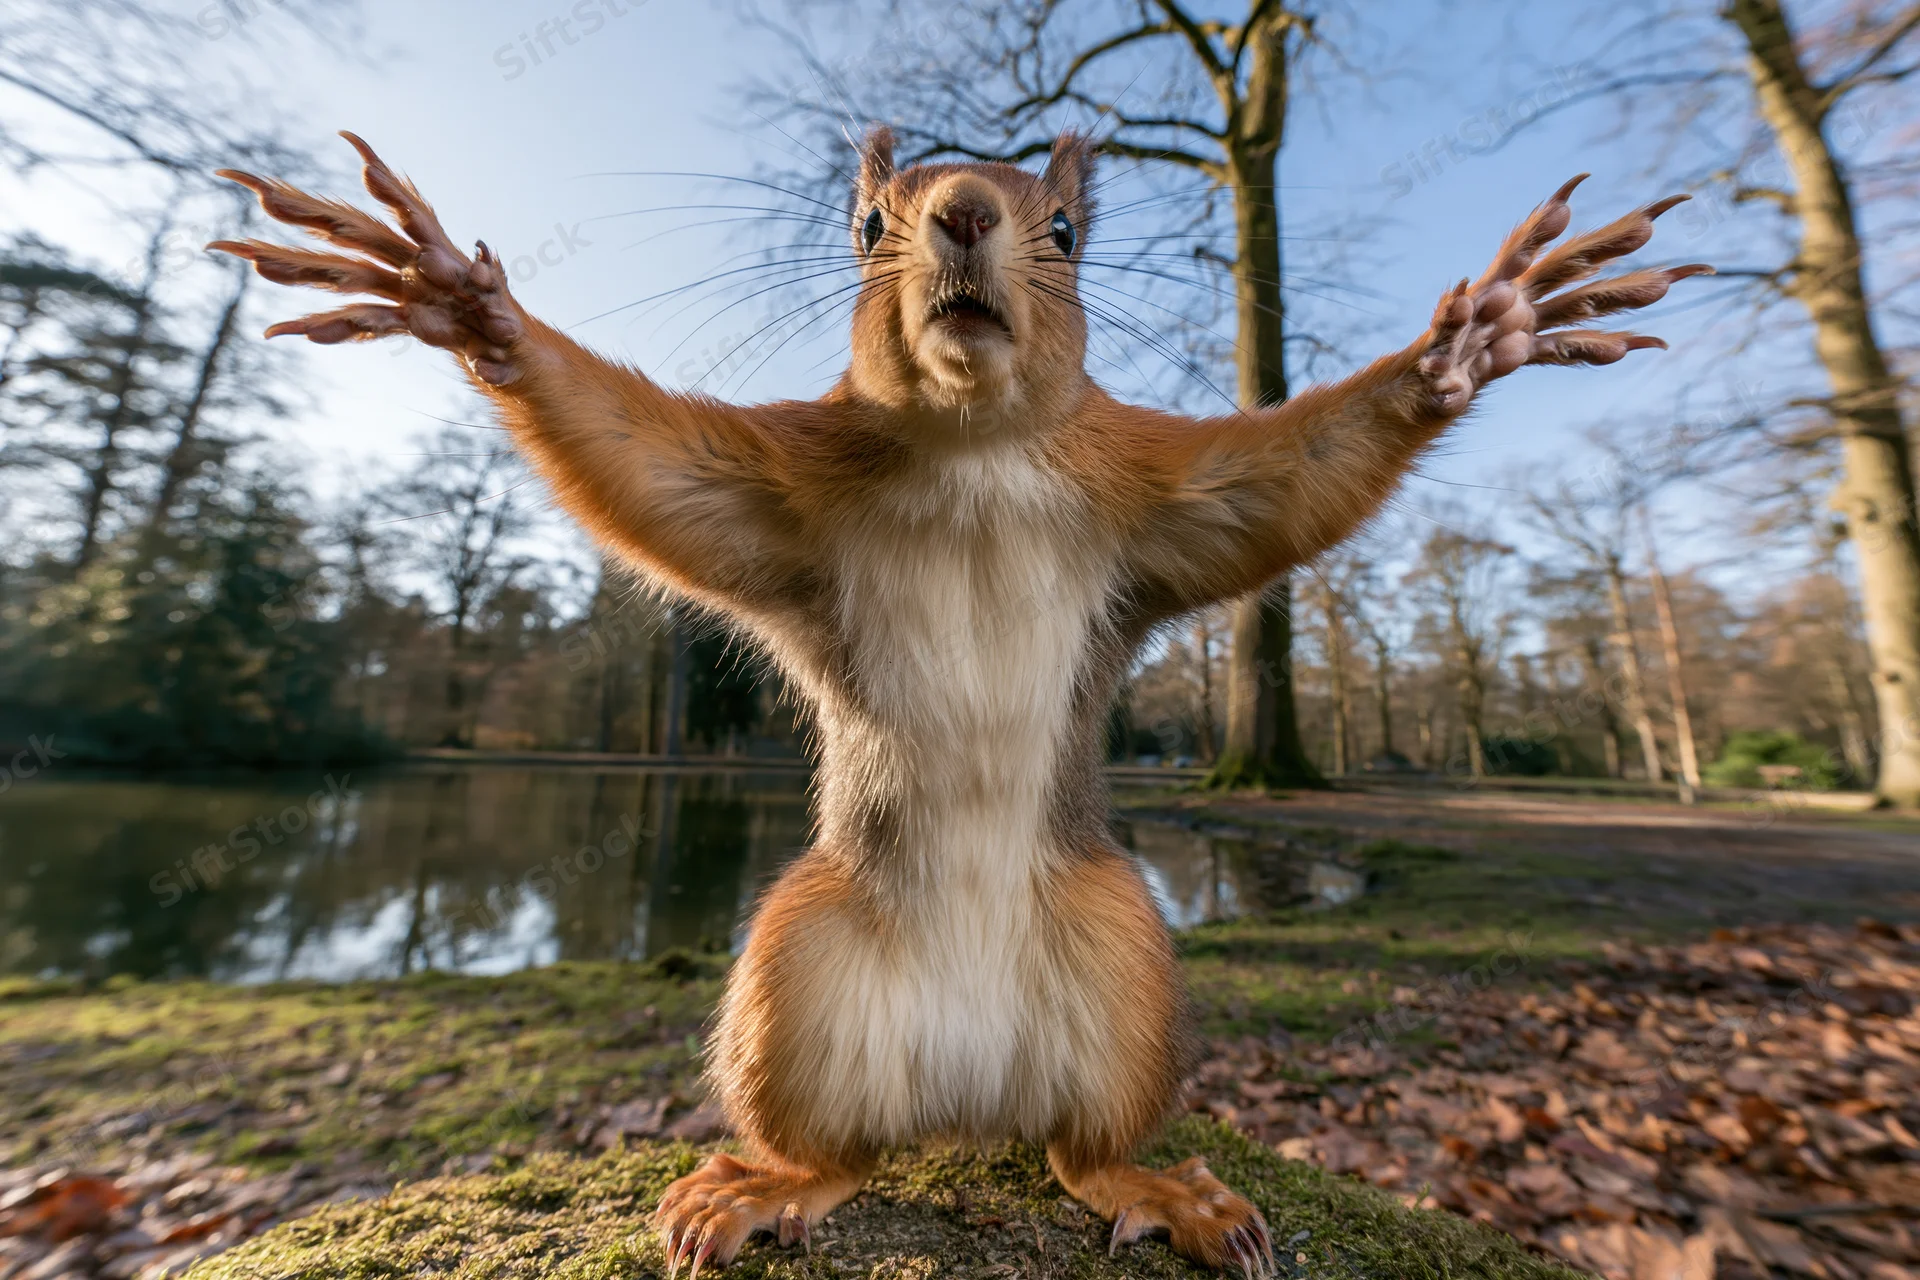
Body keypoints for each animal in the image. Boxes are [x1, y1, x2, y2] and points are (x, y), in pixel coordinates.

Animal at [211, 127, 1707, 1274]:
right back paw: (769, 1186)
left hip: (1127, 969)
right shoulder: (775, 486)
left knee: (1077, 1154)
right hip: (793, 971)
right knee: (845, 1151)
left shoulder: (1157, 493)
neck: (976, 446)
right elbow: (650, 468)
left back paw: (1163, 1191)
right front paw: (470, 309)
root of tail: (964, 1101)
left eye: (1069, 231)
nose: (967, 217)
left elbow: (1281, 482)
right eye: (869, 220)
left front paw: (1481, 334)